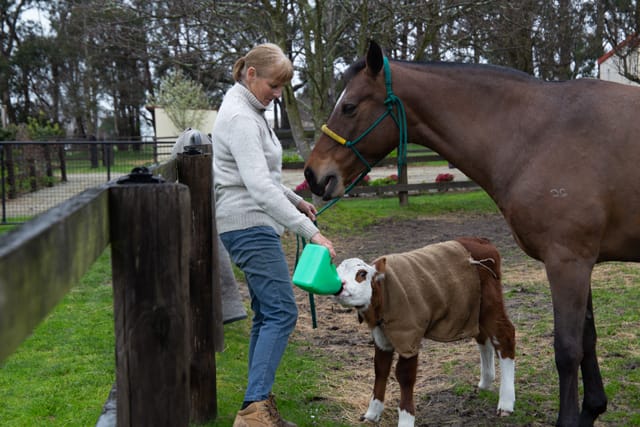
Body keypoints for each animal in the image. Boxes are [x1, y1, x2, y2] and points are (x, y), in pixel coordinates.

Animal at [303, 40, 640, 427]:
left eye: (350, 106)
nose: (313, 174)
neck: (541, 135)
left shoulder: (567, 262)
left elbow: (568, 348)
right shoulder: (580, 263)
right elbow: (588, 339)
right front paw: (592, 408)